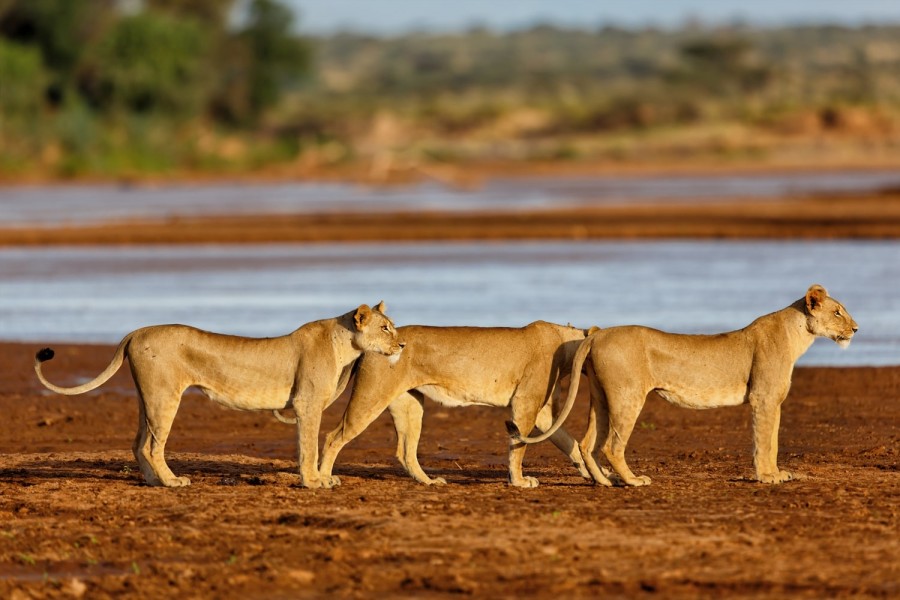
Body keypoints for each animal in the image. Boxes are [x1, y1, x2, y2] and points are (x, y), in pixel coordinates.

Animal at [34, 302, 400, 490]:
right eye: (385, 328)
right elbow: (308, 446)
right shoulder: (306, 404)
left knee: (138, 443)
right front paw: (313, 482)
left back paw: (153, 482)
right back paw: (173, 481)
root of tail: (137, 331)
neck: (344, 345)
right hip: (165, 397)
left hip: (147, 397)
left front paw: (321, 479)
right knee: (153, 446)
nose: (402, 344)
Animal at [306, 324, 596, 488]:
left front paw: (593, 473)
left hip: (409, 404)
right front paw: (519, 482)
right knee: (333, 436)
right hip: (372, 397)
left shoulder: (544, 413)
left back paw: (429, 482)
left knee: (405, 451)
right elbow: (519, 447)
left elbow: (568, 441)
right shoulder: (525, 404)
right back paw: (324, 479)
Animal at [512, 284, 856, 486]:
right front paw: (768, 477)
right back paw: (633, 481)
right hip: (627, 396)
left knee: (587, 444)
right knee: (611, 445)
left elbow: (772, 439)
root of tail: (597, 334)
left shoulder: (774, 401)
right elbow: (764, 441)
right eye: (838, 312)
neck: (798, 335)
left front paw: (777, 473)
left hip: (601, 397)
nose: (855, 328)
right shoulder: (764, 398)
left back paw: (605, 482)